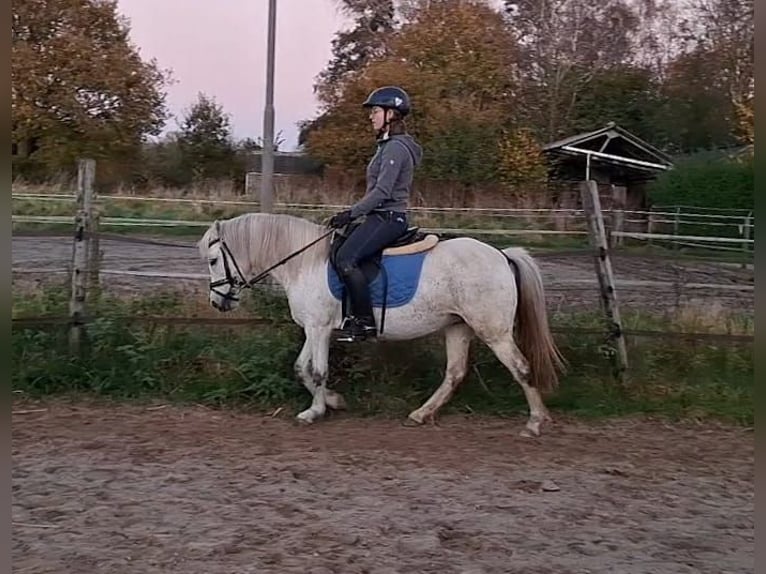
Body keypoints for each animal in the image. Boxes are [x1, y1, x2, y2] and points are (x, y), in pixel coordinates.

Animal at [201, 214, 568, 438]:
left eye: (214, 260)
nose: (218, 303)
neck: (303, 262)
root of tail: (501, 254)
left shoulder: (319, 328)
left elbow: (317, 371)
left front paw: (315, 411)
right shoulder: (314, 328)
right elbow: (301, 368)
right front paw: (334, 402)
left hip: (494, 332)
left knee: (521, 368)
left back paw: (535, 423)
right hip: (458, 327)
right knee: (455, 373)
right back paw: (421, 414)